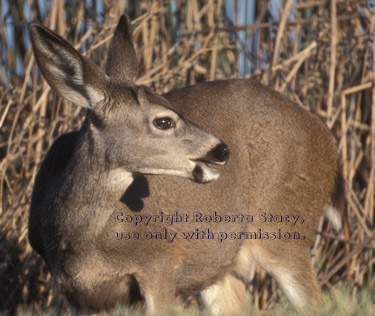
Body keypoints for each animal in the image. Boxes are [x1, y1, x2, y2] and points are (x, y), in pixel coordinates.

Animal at [28, 13, 344, 314]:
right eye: (164, 121)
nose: (221, 150)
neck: (83, 245)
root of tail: (326, 136)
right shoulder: (77, 294)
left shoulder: (160, 262)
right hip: (222, 265)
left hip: (286, 231)